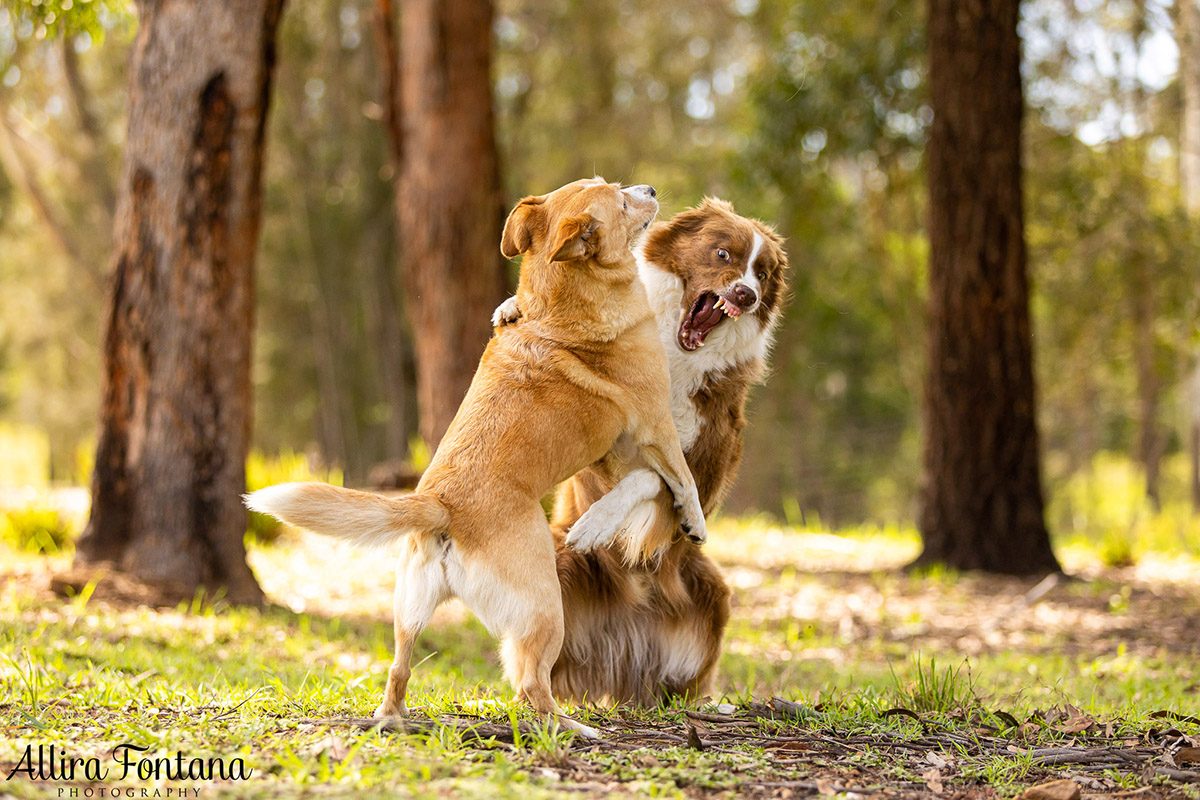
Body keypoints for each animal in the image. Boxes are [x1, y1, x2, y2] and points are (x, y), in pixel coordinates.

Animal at [248, 178, 705, 734]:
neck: (558, 301)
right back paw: (575, 728)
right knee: (532, 688)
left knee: (398, 671)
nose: (651, 188)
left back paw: (394, 719)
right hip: (545, 608)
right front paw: (692, 520)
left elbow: (647, 483)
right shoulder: (654, 427)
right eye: (620, 201)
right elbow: (680, 479)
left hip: (410, 608)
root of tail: (440, 505)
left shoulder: (623, 456)